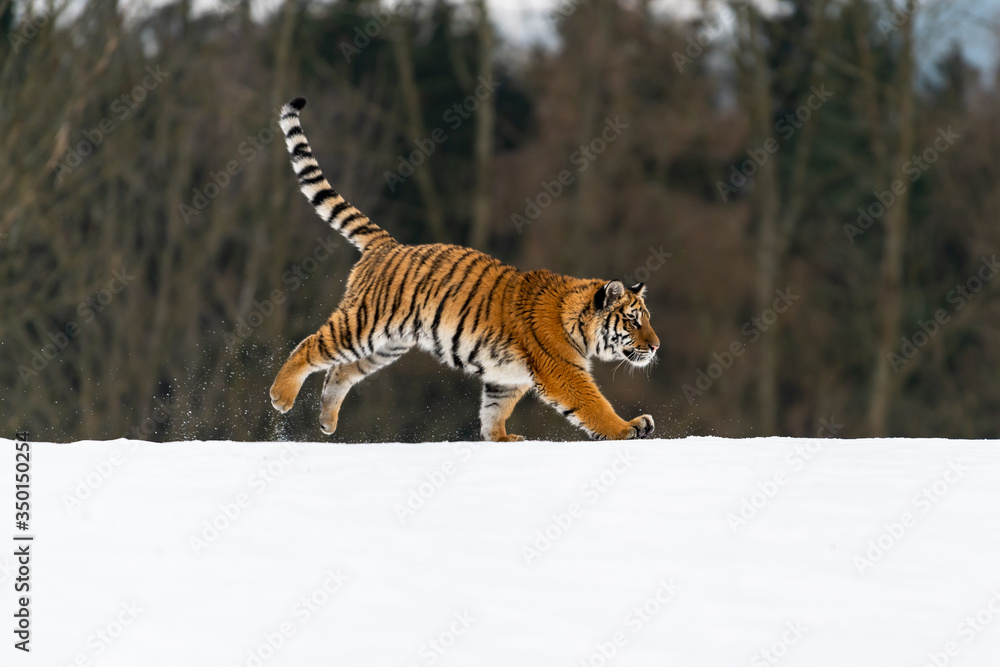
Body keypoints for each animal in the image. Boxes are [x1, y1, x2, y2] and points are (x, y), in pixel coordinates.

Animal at [269, 97, 660, 441]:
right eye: (632, 321)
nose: (656, 347)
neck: (577, 322)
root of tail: (389, 245)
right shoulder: (562, 370)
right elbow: (594, 406)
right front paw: (627, 428)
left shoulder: (508, 377)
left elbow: (494, 410)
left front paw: (501, 439)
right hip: (363, 323)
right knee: (310, 346)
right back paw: (281, 396)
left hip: (387, 343)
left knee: (340, 371)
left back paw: (327, 421)